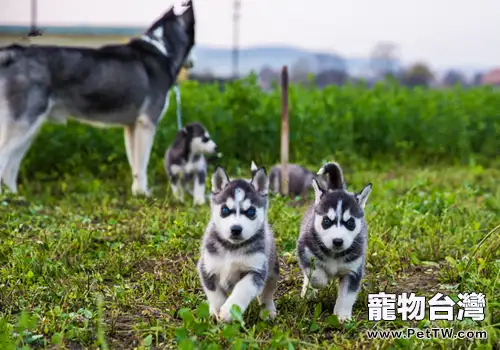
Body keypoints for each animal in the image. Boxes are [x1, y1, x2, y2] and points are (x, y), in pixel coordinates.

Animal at [0, 0, 195, 197]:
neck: (162, 49)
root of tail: (14, 52)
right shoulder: (146, 124)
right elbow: (141, 165)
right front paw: (143, 194)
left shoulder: (132, 127)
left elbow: (135, 165)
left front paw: (136, 193)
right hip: (23, 124)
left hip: (29, 130)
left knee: (11, 167)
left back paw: (14, 196)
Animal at [196, 166, 282, 322]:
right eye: (224, 210)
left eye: (251, 211)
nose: (236, 229)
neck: (232, 248)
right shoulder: (206, 267)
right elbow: (215, 294)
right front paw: (218, 309)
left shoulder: (256, 270)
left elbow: (243, 289)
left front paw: (229, 310)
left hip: (273, 270)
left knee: (268, 291)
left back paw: (267, 309)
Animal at [296, 163, 372, 322]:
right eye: (326, 221)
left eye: (350, 223)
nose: (338, 241)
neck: (334, 254)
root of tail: (337, 188)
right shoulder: (305, 251)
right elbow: (316, 276)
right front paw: (320, 282)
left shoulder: (352, 271)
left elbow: (347, 296)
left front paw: (342, 315)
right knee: (307, 277)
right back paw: (308, 291)